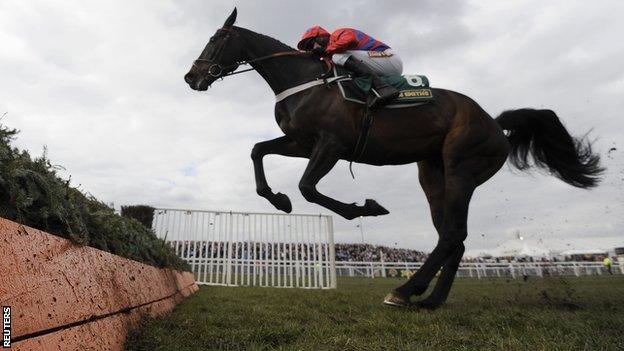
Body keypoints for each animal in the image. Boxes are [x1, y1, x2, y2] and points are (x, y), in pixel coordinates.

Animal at [183, 9, 604, 310]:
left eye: (216, 39)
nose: (191, 77)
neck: (304, 80)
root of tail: (494, 122)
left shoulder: (330, 144)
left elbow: (308, 187)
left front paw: (364, 208)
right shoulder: (302, 142)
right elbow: (258, 151)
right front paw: (278, 199)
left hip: (462, 168)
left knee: (452, 233)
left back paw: (404, 290)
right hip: (432, 174)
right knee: (454, 238)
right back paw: (430, 300)